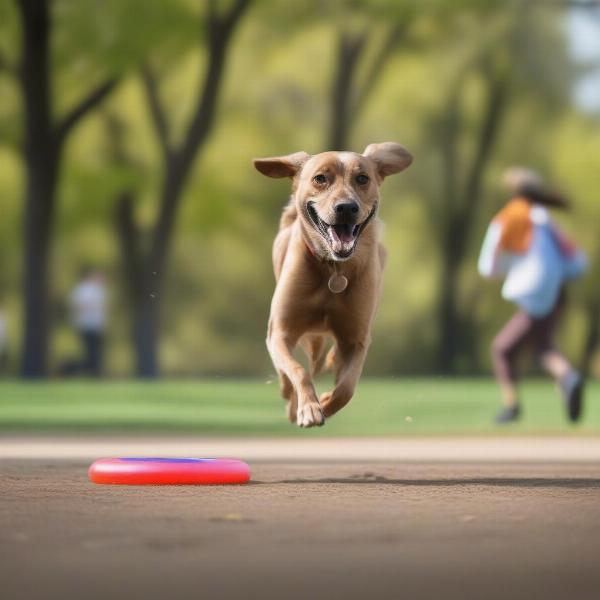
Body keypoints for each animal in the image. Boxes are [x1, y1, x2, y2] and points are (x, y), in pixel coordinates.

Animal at [253, 143, 412, 426]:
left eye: (362, 178)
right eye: (320, 178)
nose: (346, 208)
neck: (333, 269)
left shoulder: (356, 338)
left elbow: (347, 387)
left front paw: (325, 403)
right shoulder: (281, 332)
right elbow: (297, 370)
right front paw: (308, 408)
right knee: (296, 371)